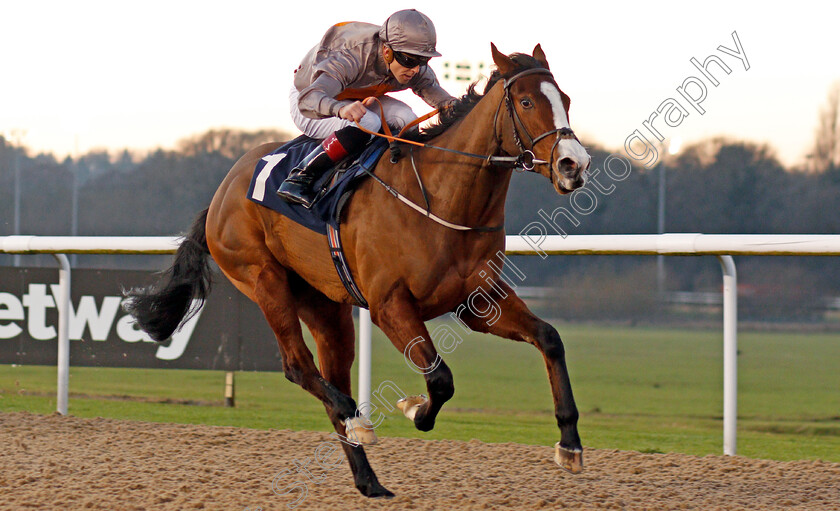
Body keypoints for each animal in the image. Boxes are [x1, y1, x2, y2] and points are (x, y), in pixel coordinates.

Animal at [128, 44, 592, 500]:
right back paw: (356, 420)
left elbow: (549, 338)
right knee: (298, 366)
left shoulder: (478, 301)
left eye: (567, 100)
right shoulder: (389, 305)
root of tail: (222, 191)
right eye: (527, 101)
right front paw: (414, 408)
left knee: (330, 375)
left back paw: (369, 479)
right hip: (263, 279)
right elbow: (440, 379)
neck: (440, 199)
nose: (574, 164)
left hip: (326, 307)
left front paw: (569, 444)